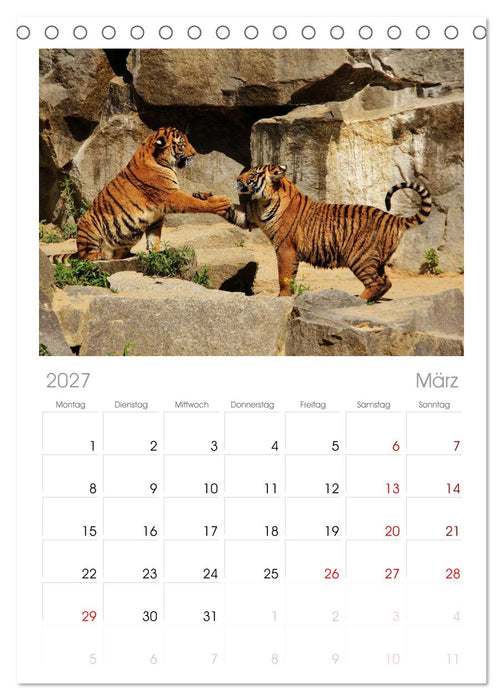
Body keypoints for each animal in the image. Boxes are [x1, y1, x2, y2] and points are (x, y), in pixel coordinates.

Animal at [51, 127, 231, 262]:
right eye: (182, 144)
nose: (194, 153)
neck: (160, 159)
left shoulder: (156, 217)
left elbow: (154, 237)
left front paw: (156, 252)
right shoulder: (170, 196)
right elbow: (194, 203)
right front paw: (220, 203)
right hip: (88, 226)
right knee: (84, 256)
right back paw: (98, 256)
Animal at [216, 164, 432, 301]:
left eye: (251, 174)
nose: (237, 179)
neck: (265, 201)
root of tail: (393, 218)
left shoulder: (285, 248)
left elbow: (284, 276)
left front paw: (283, 297)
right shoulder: (250, 216)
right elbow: (234, 212)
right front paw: (213, 200)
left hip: (360, 256)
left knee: (376, 282)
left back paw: (358, 300)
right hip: (374, 259)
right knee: (386, 282)